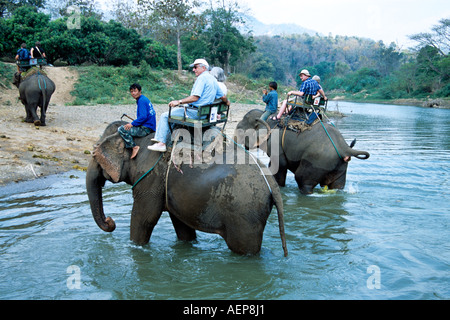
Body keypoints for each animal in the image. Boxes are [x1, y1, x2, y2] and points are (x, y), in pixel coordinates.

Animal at [86, 121, 286, 256]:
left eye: (95, 155)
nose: (110, 221)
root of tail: (271, 183)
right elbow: (182, 226)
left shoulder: (150, 179)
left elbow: (145, 218)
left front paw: (135, 248)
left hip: (244, 212)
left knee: (244, 248)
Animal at [232, 109, 370, 195]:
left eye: (240, 130)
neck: (265, 116)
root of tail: (344, 147)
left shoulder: (276, 144)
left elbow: (279, 166)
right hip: (339, 164)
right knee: (337, 185)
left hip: (317, 160)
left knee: (302, 179)